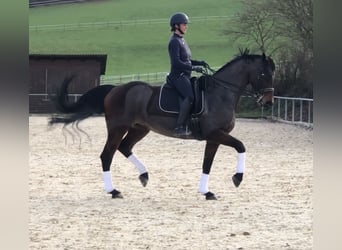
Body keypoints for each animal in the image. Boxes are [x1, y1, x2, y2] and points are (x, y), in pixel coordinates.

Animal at [50, 49, 276, 200]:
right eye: (264, 74)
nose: (268, 101)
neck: (220, 94)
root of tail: (115, 89)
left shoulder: (213, 138)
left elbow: (207, 163)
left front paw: (206, 192)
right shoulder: (215, 133)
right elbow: (241, 146)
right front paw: (237, 178)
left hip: (140, 129)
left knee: (125, 147)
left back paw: (144, 175)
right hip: (117, 128)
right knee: (107, 155)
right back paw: (113, 191)